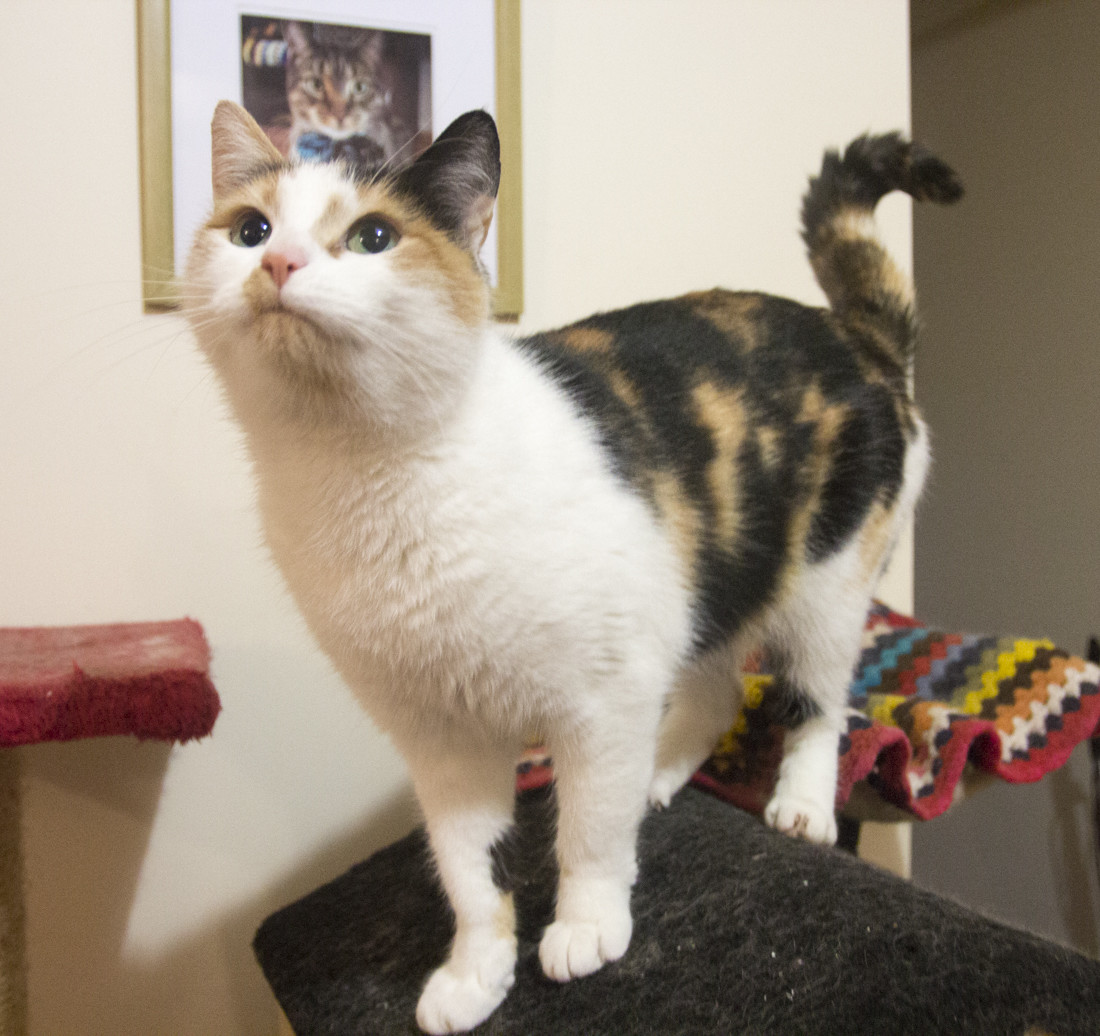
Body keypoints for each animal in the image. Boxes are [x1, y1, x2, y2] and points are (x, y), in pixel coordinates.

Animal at [183, 101, 961, 1034]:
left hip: (826, 585)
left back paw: (800, 804)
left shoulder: (605, 694)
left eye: (373, 236)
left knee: (814, 703)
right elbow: (467, 867)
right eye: (249, 229)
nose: (279, 261)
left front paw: (587, 926)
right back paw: (658, 776)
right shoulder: (439, 737)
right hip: (698, 595)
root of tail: (852, 332)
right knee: (717, 692)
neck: (367, 481)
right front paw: (476, 973)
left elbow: (587, 830)